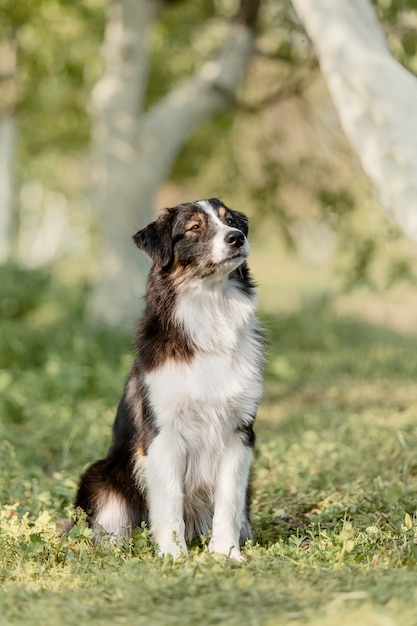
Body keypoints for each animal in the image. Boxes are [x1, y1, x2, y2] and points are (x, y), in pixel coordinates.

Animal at [75, 197, 264, 560]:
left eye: (230, 221)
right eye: (194, 228)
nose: (237, 238)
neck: (210, 310)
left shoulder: (239, 433)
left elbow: (228, 502)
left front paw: (226, 553)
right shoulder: (163, 434)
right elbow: (169, 501)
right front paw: (174, 556)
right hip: (102, 475)